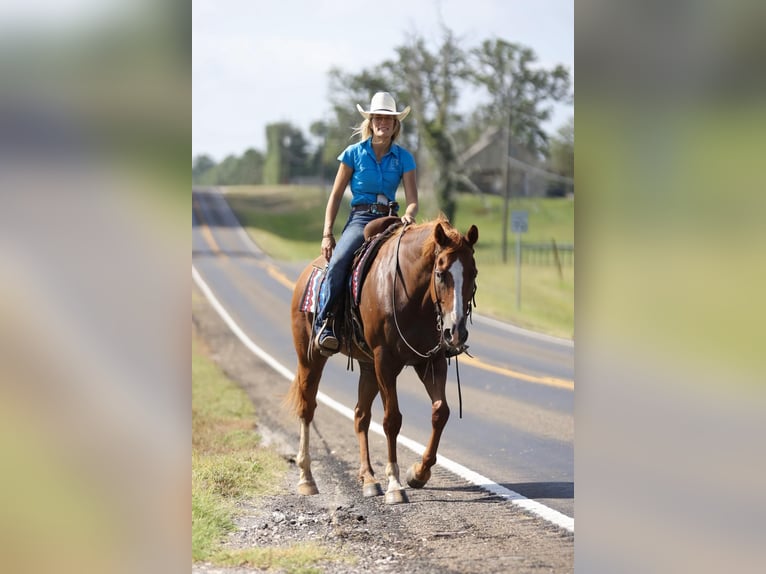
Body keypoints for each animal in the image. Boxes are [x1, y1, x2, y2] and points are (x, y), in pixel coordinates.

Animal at [288, 215, 480, 504]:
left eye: (474, 273)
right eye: (440, 273)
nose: (455, 331)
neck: (412, 293)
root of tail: (306, 274)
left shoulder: (430, 361)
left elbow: (440, 411)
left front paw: (418, 473)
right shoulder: (385, 361)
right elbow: (392, 419)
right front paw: (395, 485)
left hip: (368, 368)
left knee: (360, 416)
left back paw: (368, 478)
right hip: (311, 358)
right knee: (307, 409)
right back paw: (306, 479)